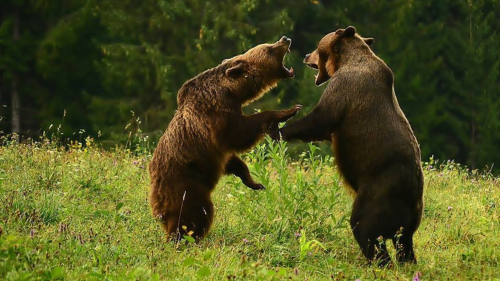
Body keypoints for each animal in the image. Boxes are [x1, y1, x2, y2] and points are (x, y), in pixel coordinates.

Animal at [148, 35, 300, 241]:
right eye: (268, 48)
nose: (285, 38)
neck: (232, 91)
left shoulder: (218, 145)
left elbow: (233, 161)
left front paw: (255, 183)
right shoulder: (217, 116)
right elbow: (241, 133)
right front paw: (288, 111)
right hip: (184, 186)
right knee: (194, 214)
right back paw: (185, 238)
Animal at [280, 26, 424, 264]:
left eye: (318, 47)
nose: (306, 55)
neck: (347, 60)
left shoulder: (346, 88)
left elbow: (320, 119)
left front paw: (279, 130)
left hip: (378, 190)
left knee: (364, 226)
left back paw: (378, 261)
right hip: (411, 215)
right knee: (404, 243)